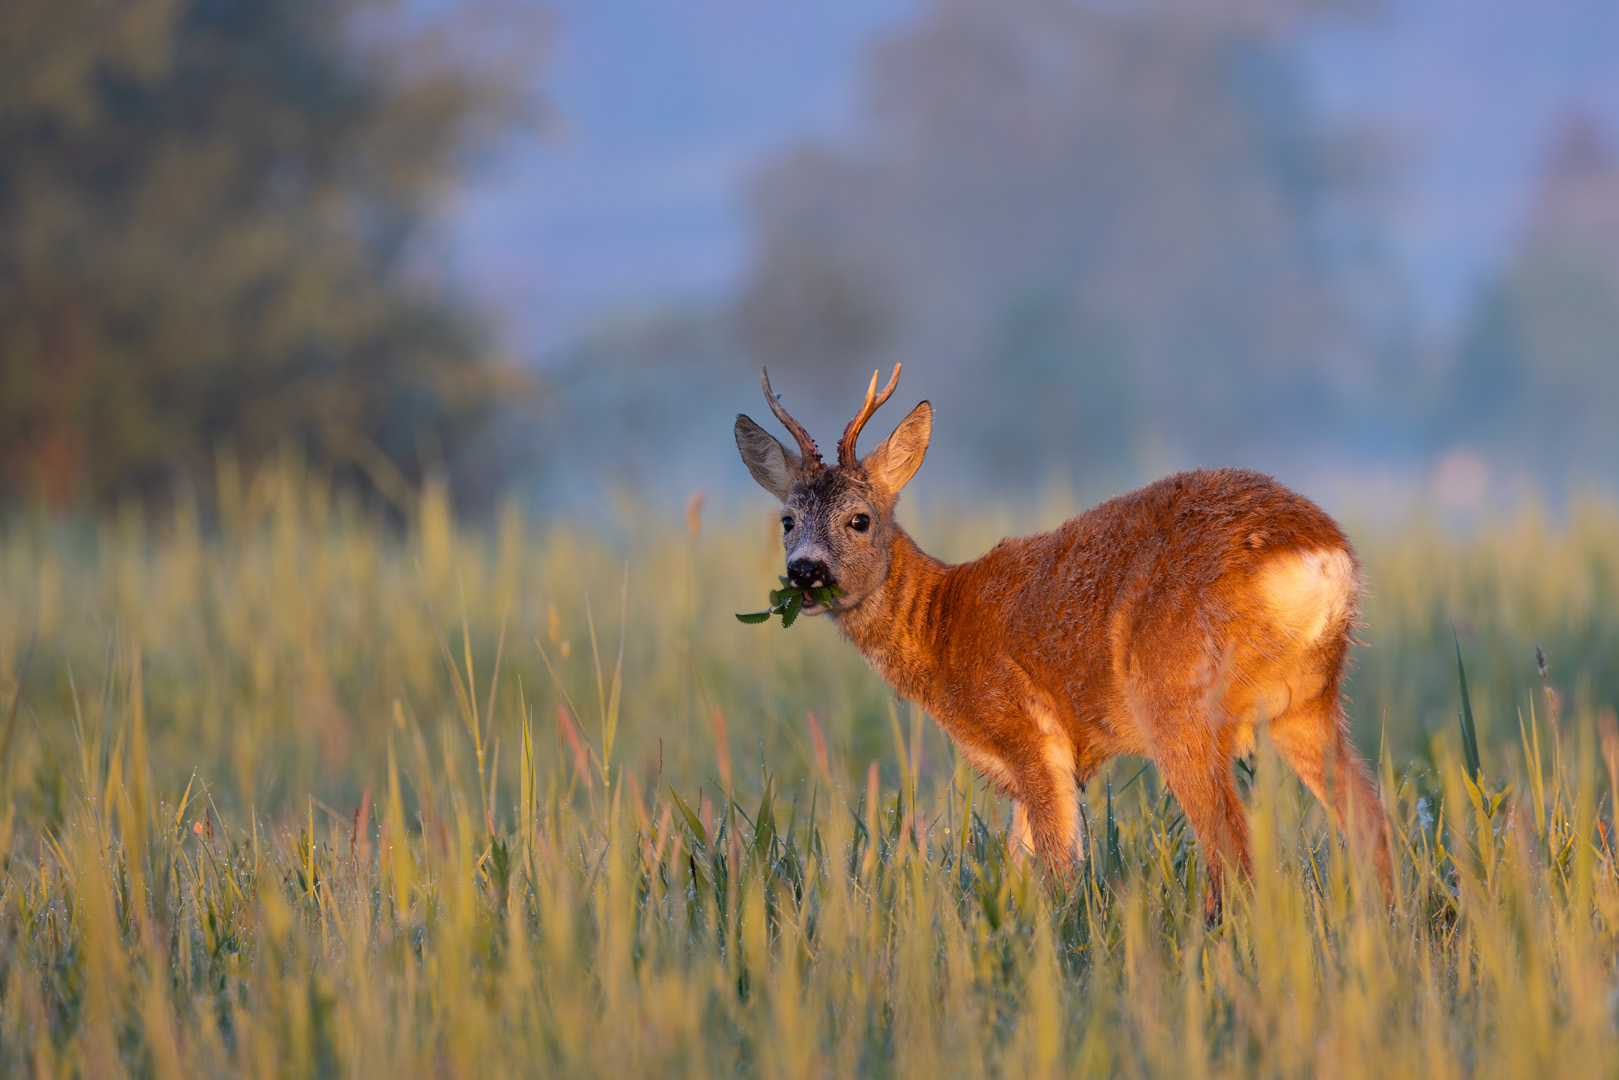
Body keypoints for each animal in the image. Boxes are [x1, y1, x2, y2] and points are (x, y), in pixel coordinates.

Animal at [741, 365, 1398, 919]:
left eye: (860, 519)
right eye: (787, 521)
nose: (805, 572)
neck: (940, 626)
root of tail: (1318, 554)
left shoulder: (1031, 735)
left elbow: (1058, 871)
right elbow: (1017, 867)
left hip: (1177, 697)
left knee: (1234, 849)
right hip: (1307, 700)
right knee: (1369, 819)